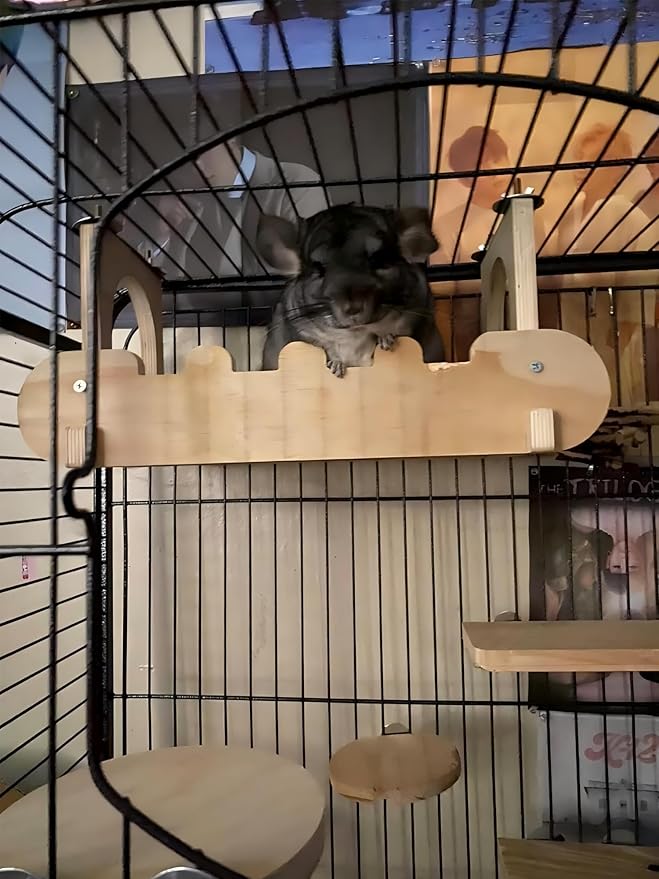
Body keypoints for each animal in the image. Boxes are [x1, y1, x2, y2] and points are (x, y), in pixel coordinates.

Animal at [256, 203, 445, 377]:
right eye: (319, 269)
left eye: (379, 261)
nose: (353, 307)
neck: (355, 335)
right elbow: (328, 348)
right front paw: (336, 367)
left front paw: (386, 340)